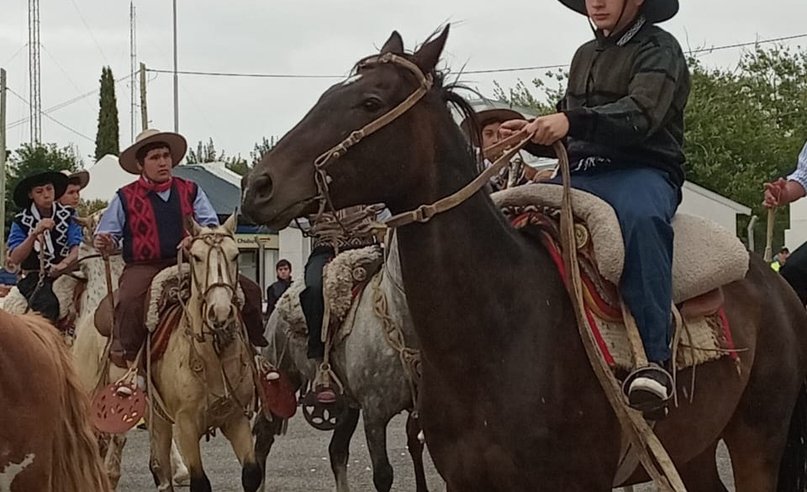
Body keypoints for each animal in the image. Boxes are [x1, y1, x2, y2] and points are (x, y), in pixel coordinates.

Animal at [148, 216, 262, 492]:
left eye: (235, 255)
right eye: (196, 257)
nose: (220, 312)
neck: (213, 356)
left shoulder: (236, 419)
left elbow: (252, 473)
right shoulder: (186, 425)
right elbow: (200, 481)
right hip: (156, 416)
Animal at [256, 236, 426, 490]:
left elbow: (417, 447)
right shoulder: (374, 414)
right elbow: (383, 474)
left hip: (346, 404)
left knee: (336, 451)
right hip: (280, 383)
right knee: (263, 439)